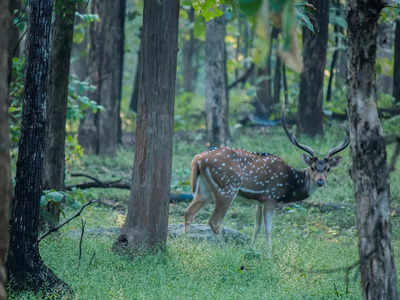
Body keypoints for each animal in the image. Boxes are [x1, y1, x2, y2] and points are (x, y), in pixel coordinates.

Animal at [183, 118, 348, 247]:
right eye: (312, 167)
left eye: (328, 169)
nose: (320, 181)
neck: (290, 184)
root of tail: (198, 159)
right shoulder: (271, 197)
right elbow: (268, 228)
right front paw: (269, 254)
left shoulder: (259, 201)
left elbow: (257, 226)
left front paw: (252, 248)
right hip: (227, 188)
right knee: (214, 221)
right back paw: (222, 249)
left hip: (204, 190)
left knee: (188, 212)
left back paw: (186, 245)